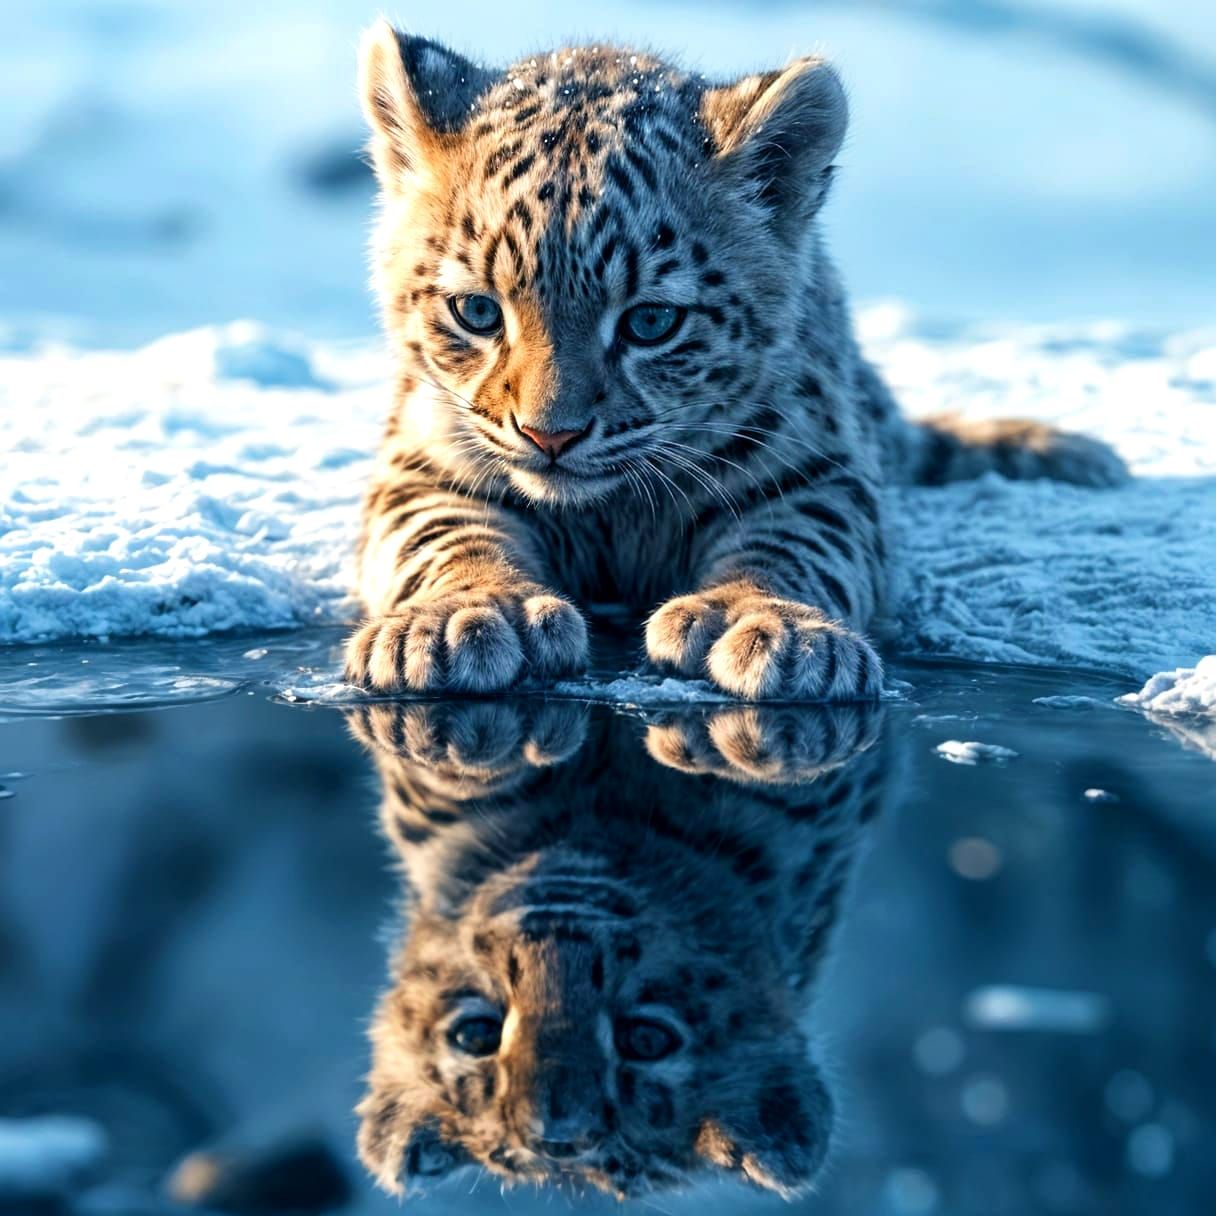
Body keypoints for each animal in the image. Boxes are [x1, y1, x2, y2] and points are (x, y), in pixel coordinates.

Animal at [344, 19, 1128, 701]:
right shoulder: (424, 458)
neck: (609, 517)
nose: (551, 436)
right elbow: (444, 536)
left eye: (651, 322)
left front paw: (763, 622)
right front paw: (467, 616)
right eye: (477, 312)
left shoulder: (820, 467)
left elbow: (796, 544)